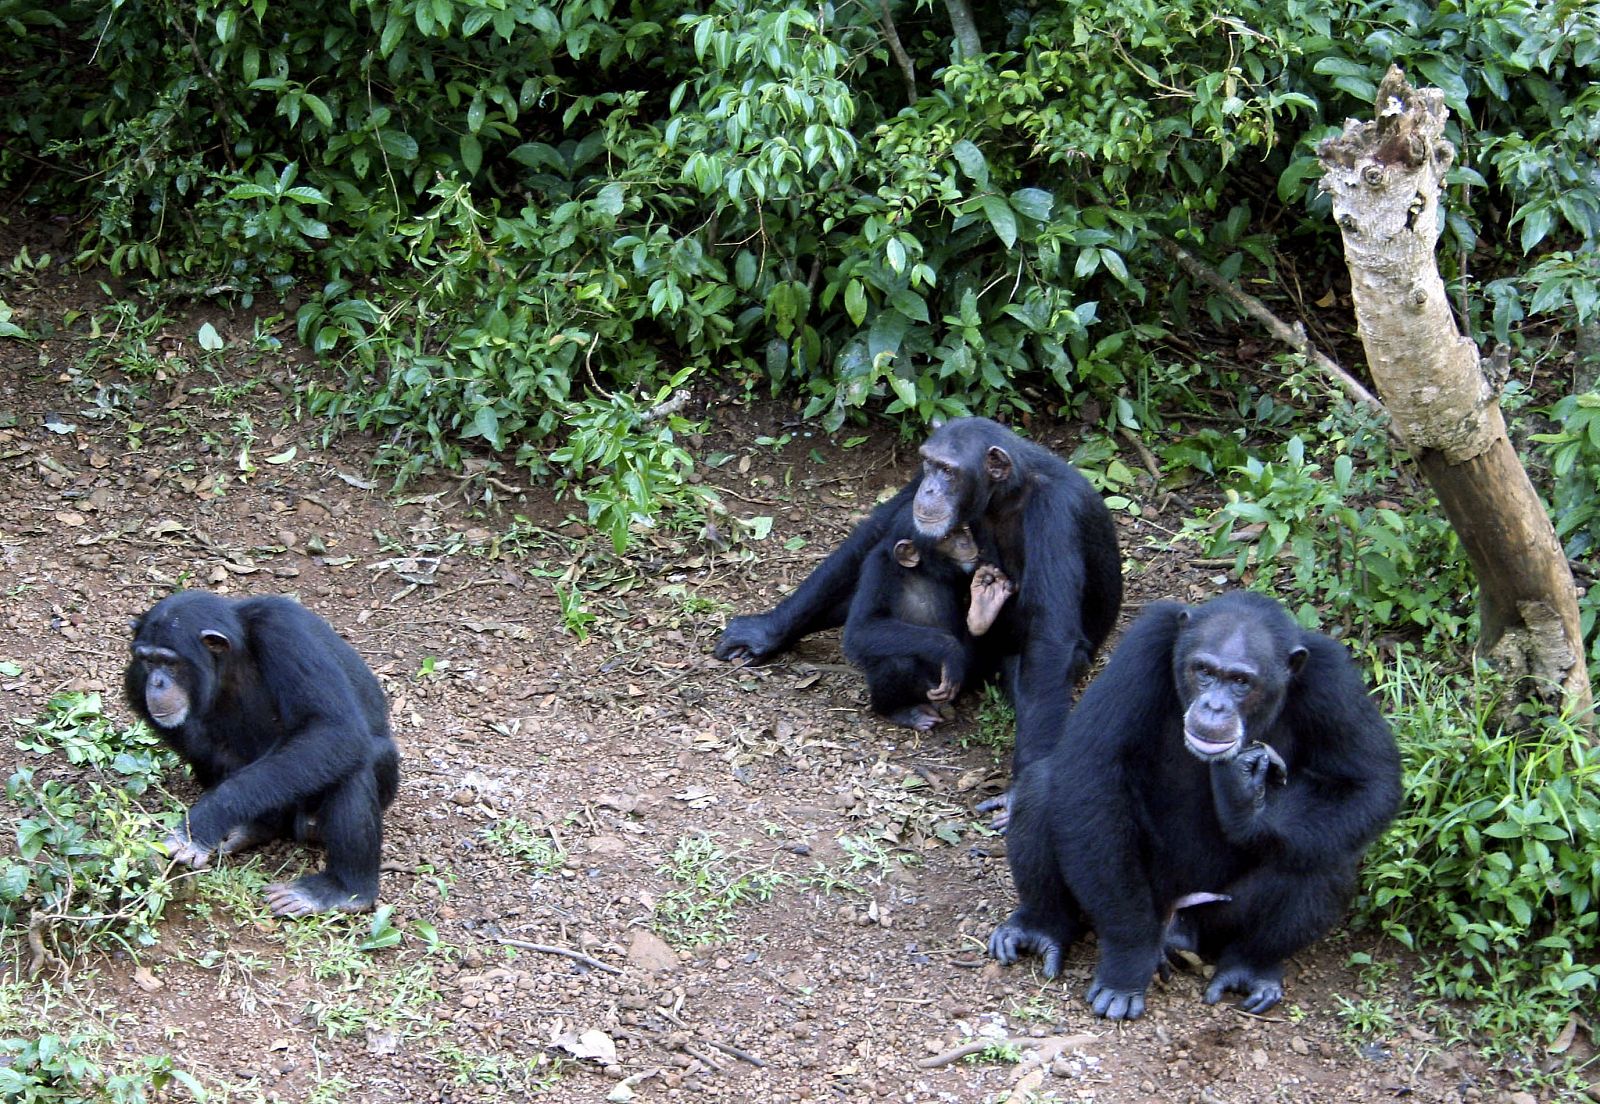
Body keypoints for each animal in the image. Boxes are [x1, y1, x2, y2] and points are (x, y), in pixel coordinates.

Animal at [124, 588, 400, 915]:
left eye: (169, 662)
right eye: (147, 660)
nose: (156, 682)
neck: (234, 654)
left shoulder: (285, 632)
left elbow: (333, 729)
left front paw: (200, 825)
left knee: (353, 765)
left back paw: (343, 890)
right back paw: (256, 826)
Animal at [838, 524, 1011, 729]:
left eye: (962, 529)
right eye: (946, 537)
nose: (965, 541)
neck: (919, 570)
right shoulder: (877, 570)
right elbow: (861, 628)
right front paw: (949, 649)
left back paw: (982, 612)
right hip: (931, 690)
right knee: (897, 662)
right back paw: (904, 712)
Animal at [985, 592, 1401, 1017]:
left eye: (1240, 681)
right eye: (1203, 670)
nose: (1214, 706)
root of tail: (1172, 919)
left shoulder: (1333, 680)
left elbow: (1367, 785)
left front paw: (1243, 803)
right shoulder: (1145, 645)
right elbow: (1093, 769)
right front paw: (1126, 963)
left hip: (1210, 919)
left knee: (1325, 855)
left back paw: (1251, 965)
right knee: (1043, 787)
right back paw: (1040, 927)